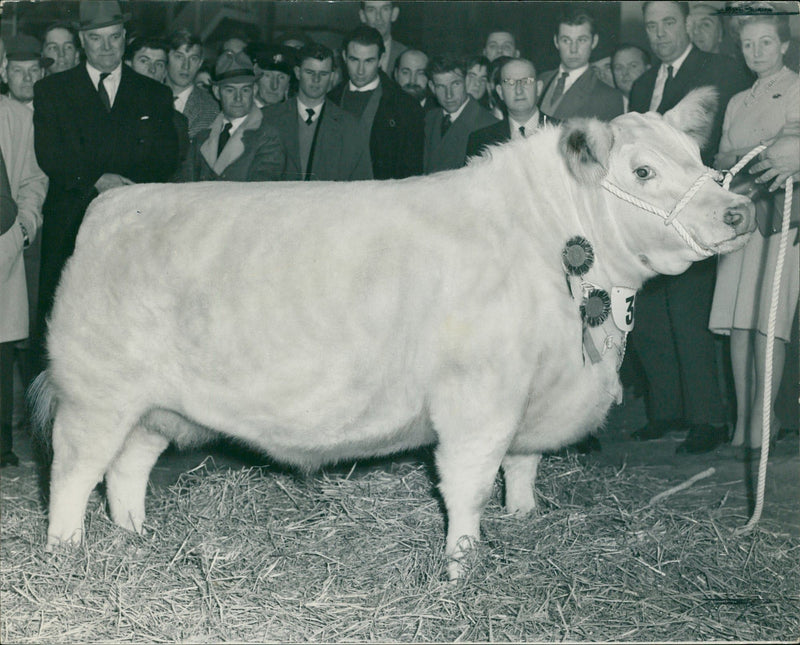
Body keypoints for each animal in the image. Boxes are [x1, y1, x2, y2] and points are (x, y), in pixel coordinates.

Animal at [36, 87, 752, 580]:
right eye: (643, 171)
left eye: (698, 157)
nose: (738, 210)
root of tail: (112, 203)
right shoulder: (478, 398)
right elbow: (468, 485)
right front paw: (461, 568)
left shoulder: (535, 393)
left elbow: (522, 466)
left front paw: (523, 520)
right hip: (97, 392)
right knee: (74, 469)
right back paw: (66, 554)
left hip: (154, 406)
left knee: (126, 468)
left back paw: (134, 538)